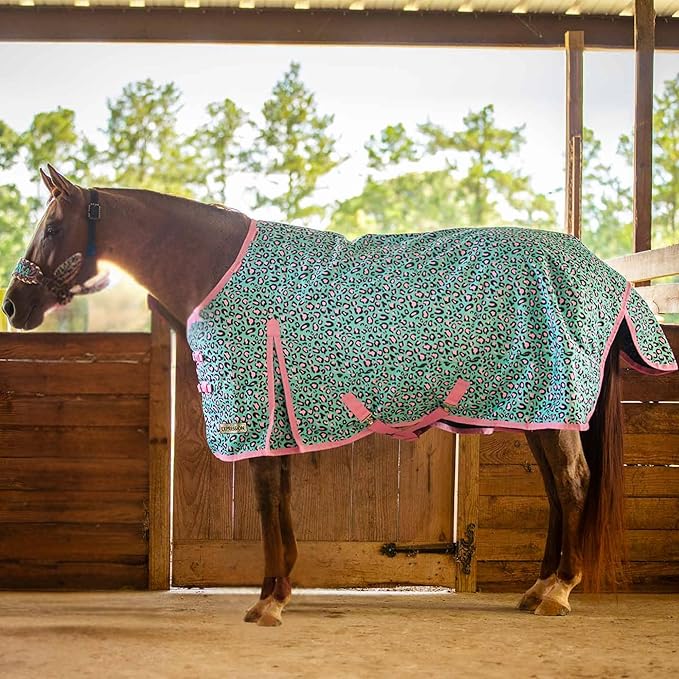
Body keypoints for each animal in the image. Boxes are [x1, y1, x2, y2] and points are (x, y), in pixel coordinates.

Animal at [3, 166, 677, 627]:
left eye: (53, 227)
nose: (15, 306)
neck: (218, 267)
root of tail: (606, 273)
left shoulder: (257, 415)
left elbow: (266, 502)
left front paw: (267, 602)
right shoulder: (277, 419)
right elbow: (279, 501)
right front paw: (279, 591)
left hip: (550, 411)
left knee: (572, 485)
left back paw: (558, 590)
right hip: (538, 412)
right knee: (559, 491)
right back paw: (536, 590)